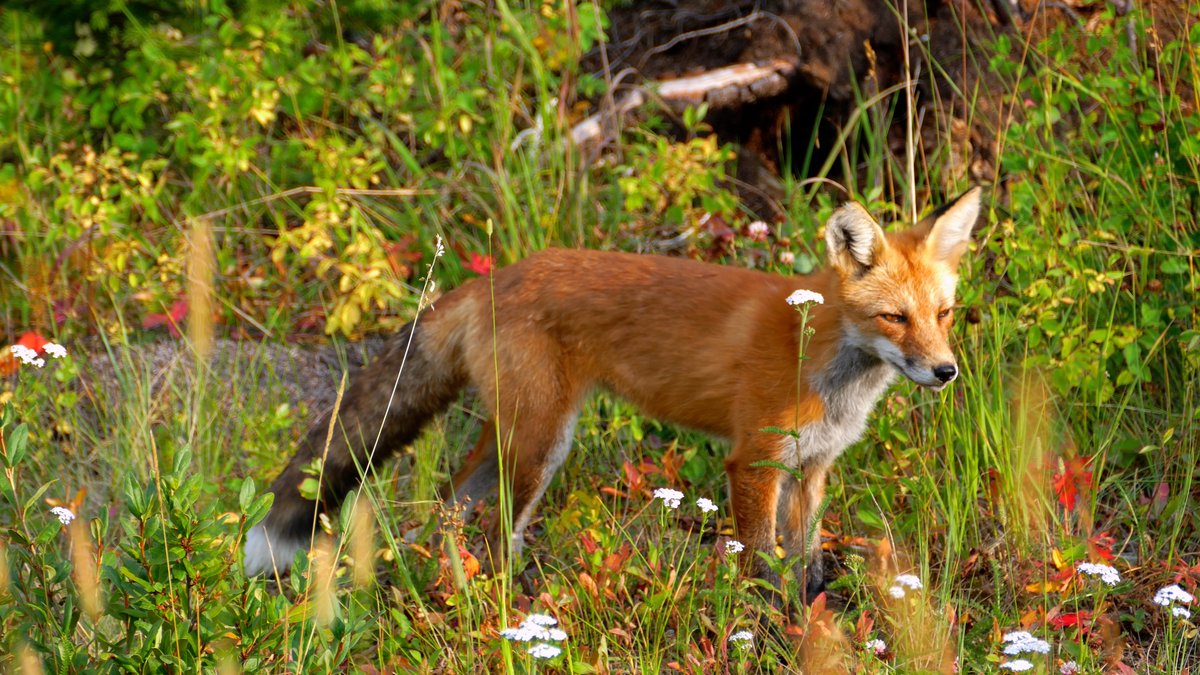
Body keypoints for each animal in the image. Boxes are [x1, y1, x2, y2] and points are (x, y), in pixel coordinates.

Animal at [244, 187, 982, 599]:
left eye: (943, 314)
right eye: (895, 318)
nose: (945, 372)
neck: (824, 351)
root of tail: (489, 280)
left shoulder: (812, 468)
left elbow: (806, 567)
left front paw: (813, 624)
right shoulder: (754, 462)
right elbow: (759, 566)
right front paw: (766, 629)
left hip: (518, 436)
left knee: (452, 508)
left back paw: (459, 591)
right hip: (543, 443)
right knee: (492, 526)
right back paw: (511, 608)